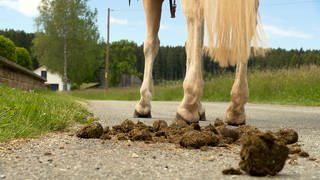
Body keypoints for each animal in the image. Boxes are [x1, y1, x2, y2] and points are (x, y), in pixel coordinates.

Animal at [132, 0, 262, 126]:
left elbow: (151, 44)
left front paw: (143, 105)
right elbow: (192, 45)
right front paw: (199, 108)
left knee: (195, 12)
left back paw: (187, 107)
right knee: (247, 21)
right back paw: (236, 108)